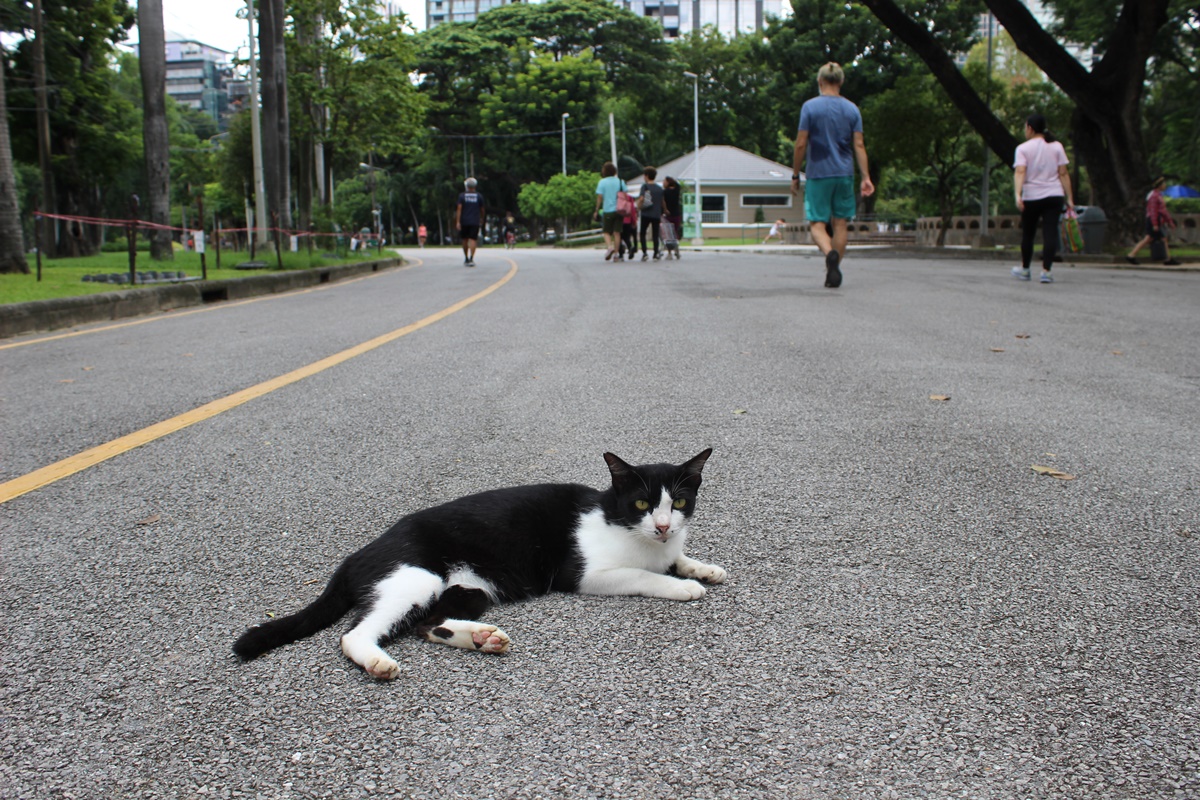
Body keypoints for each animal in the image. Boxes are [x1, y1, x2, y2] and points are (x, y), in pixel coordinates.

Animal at [231, 448, 720, 681]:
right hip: (415, 577)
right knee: (355, 633)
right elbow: (643, 574)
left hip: (470, 588)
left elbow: (676, 557)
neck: (619, 519)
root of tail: (357, 555)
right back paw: (377, 661)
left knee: (427, 623)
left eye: (678, 502)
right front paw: (682, 586)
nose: (662, 525)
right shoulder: (584, 574)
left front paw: (701, 568)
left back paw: (482, 638)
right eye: (640, 503)